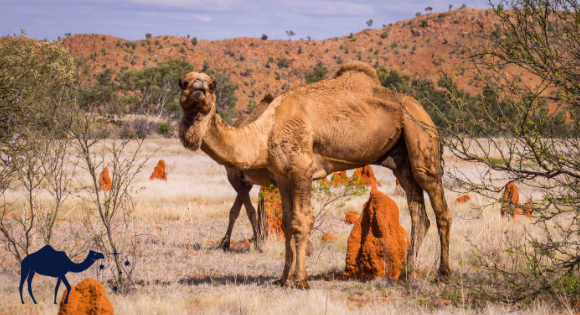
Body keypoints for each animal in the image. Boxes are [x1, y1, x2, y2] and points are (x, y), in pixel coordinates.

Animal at [179, 61, 450, 288]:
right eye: (183, 82)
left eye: (212, 84)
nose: (199, 87)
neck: (265, 132)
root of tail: (422, 109)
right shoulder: (282, 176)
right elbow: (287, 224)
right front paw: (283, 279)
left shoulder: (301, 170)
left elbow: (301, 221)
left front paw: (301, 281)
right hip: (401, 160)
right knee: (419, 214)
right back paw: (406, 274)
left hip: (421, 136)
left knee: (440, 208)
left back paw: (443, 273)